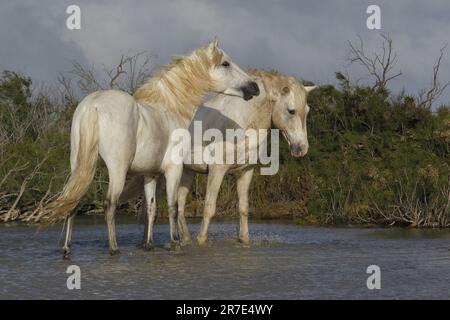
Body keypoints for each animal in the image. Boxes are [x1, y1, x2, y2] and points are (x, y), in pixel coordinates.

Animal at [43, 40, 260, 256]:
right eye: (225, 63)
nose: (255, 87)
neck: (170, 109)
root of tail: (93, 106)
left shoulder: (150, 174)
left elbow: (151, 209)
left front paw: (149, 244)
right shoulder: (174, 170)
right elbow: (173, 206)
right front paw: (175, 242)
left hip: (79, 166)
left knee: (72, 200)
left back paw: (67, 248)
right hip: (117, 170)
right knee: (110, 204)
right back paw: (114, 248)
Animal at [125, 69, 314, 245]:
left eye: (307, 111)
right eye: (291, 111)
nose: (301, 148)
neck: (240, 123)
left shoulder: (245, 172)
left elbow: (243, 208)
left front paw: (245, 240)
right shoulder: (217, 170)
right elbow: (209, 207)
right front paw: (201, 240)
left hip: (185, 172)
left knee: (178, 206)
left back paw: (181, 239)